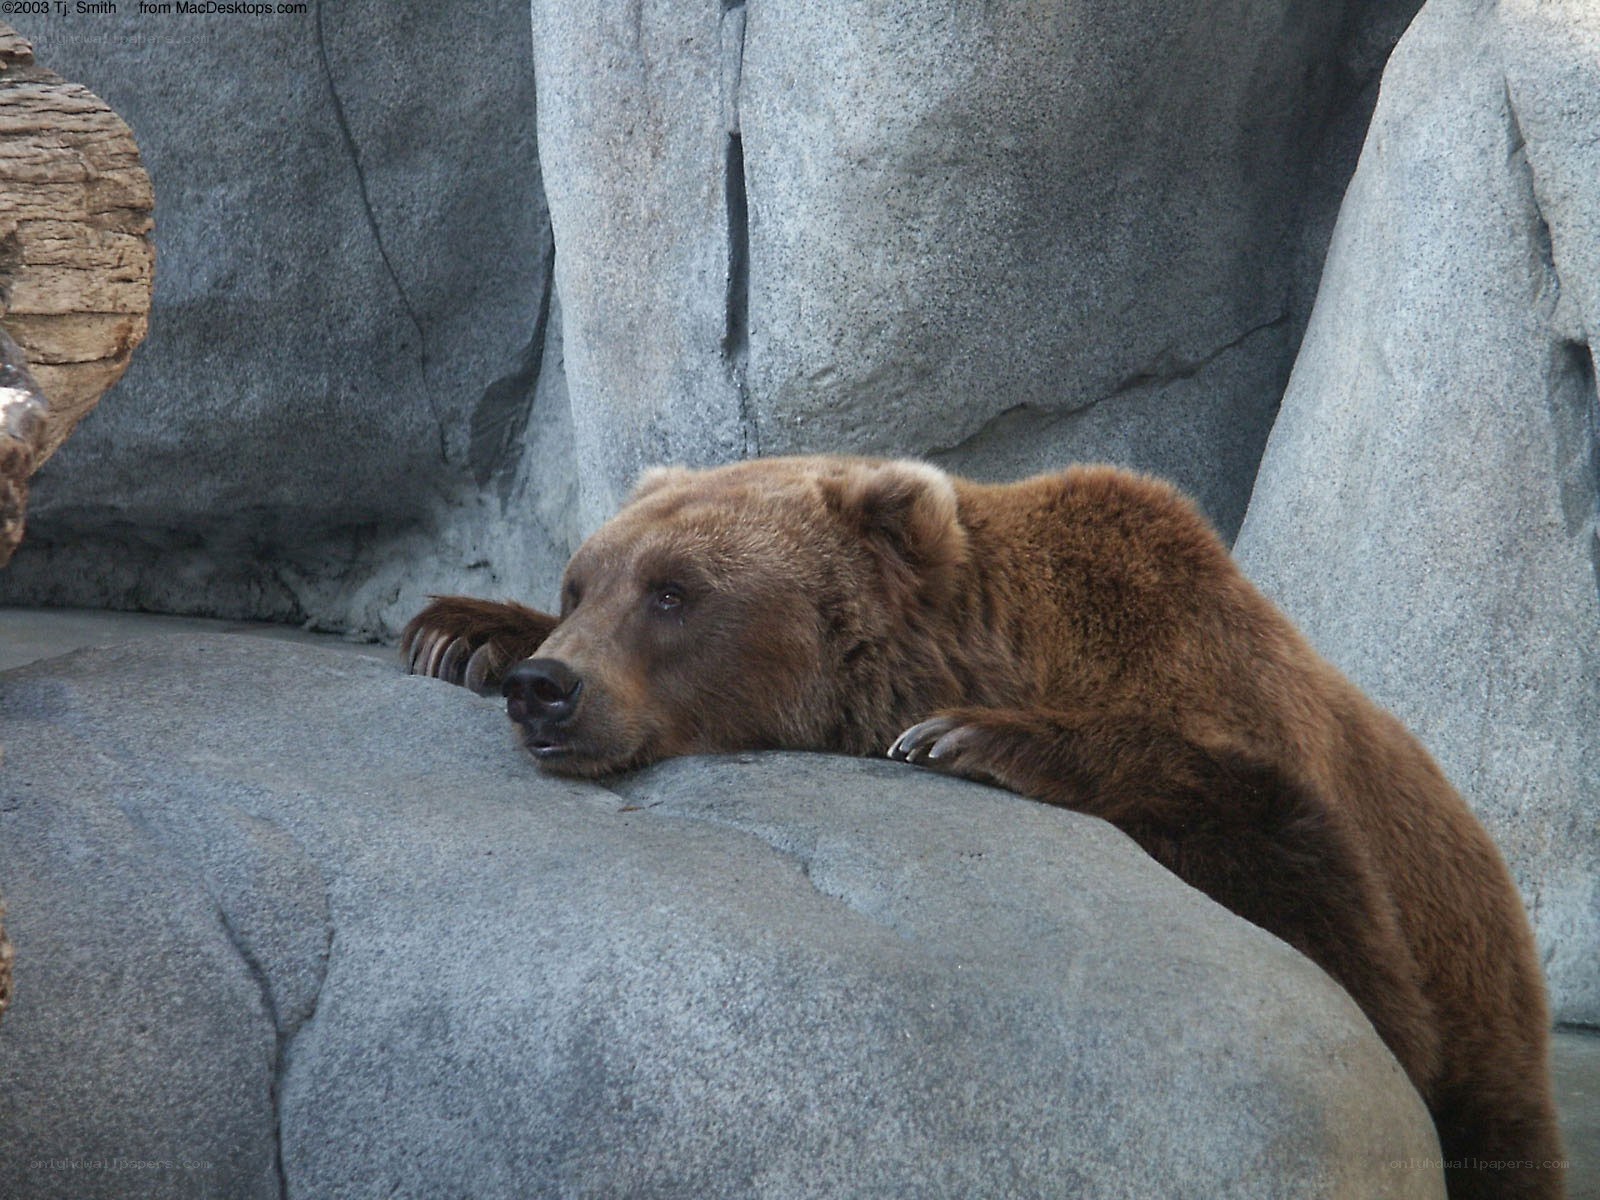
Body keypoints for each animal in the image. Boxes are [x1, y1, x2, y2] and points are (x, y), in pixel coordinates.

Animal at [404, 454, 1563, 1199]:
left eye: (675, 591)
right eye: (579, 583)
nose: (548, 689)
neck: (1026, 650)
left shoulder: (1241, 723)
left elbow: (1330, 928)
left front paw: (962, 738)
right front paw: (458, 630)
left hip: (1490, 1055)